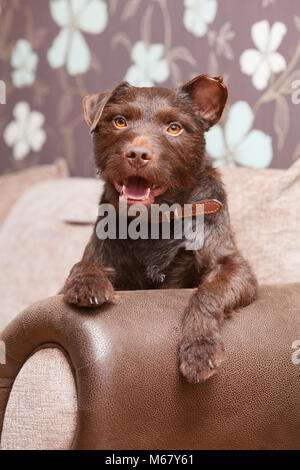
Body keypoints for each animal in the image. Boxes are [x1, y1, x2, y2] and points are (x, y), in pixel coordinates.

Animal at [61, 75, 258, 384]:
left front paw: (199, 348)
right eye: (120, 121)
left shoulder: (235, 268)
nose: (137, 154)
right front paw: (87, 281)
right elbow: (82, 264)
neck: (154, 222)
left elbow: (207, 293)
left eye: (174, 127)